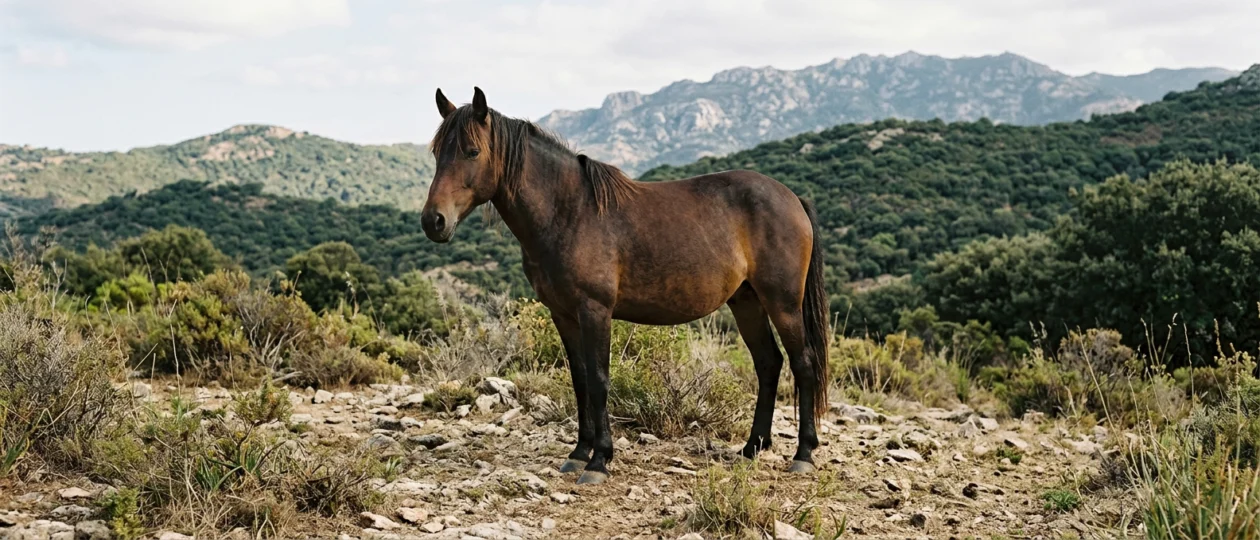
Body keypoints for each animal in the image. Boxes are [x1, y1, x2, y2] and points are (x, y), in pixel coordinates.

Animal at [420, 87, 830, 485]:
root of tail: (792, 198)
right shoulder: (563, 315)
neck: (569, 212)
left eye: (472, 151)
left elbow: (600, 380)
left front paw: (599, 460)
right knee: (768, 363)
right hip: (747, 302)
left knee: (803, 363)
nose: (433, 221)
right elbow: (580, 381)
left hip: (783, 303)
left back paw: (803, 455)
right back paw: (752, 447)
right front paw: (578, 453)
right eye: (437, 152)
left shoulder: (595, 311)